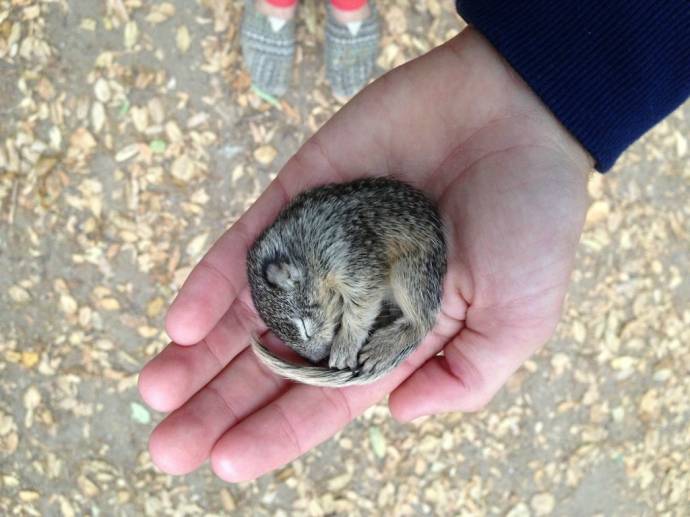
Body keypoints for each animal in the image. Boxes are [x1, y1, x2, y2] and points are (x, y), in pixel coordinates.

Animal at [247, 175, 446, 384]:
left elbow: (361, 305)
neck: (304, 249)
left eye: (305, 328)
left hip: (411, 272)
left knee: (422, 322)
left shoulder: (352, 260)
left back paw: (383, 347)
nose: (319, 358)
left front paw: (344, 346)